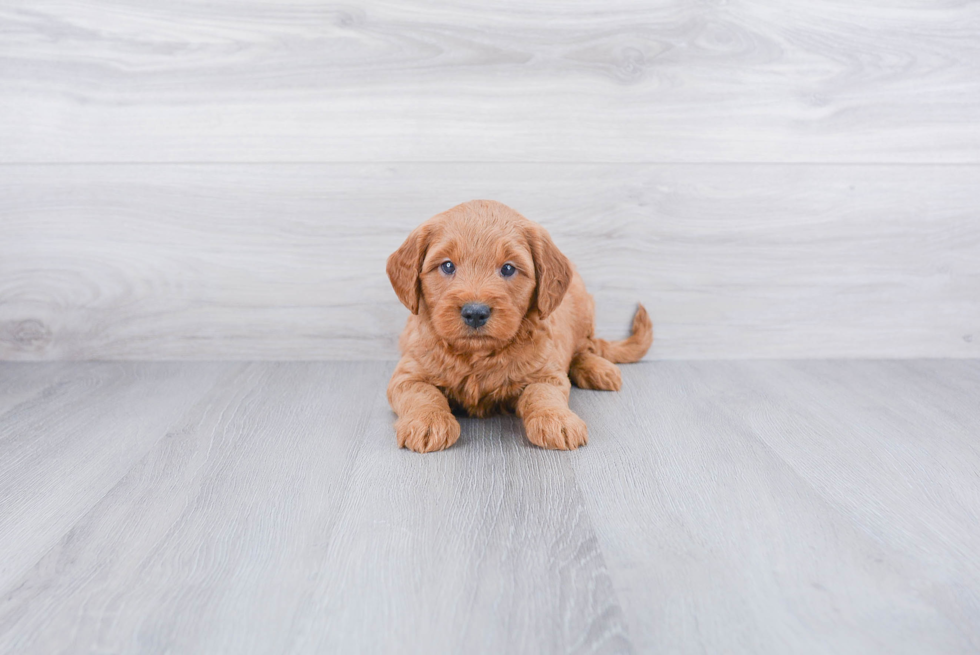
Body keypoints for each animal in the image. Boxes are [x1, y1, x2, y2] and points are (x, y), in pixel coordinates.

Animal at [384, 202, 652, 454]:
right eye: (448, 266)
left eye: (508, 268)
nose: (475, 313)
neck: (477, 355)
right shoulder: (408, 373)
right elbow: (422, 393)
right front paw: (427, 422)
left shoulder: (546, 371)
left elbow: (543, 393)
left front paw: (557, 420)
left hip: (584, 309)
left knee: (585, 347)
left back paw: (599, 369)